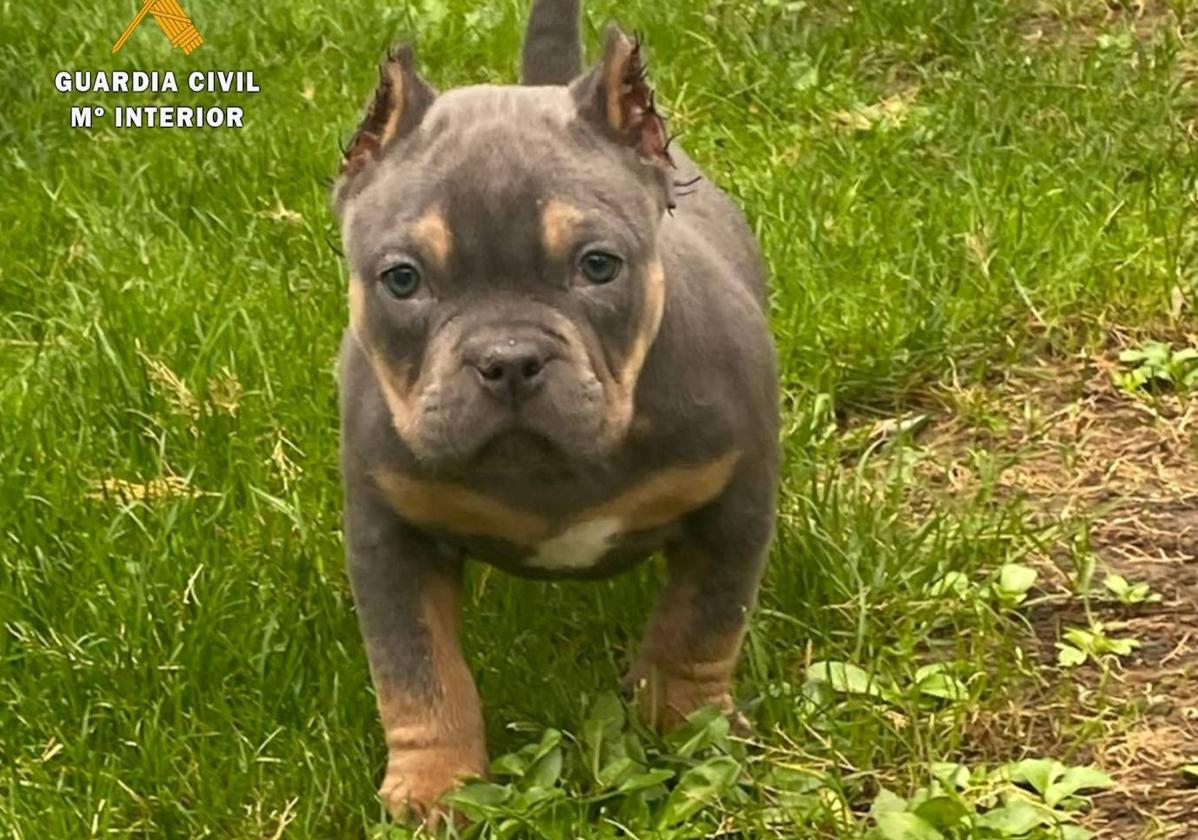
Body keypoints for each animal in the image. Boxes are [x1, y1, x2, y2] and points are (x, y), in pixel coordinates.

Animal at [333, 0, 781, 819]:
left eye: (598, 266)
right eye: (402, 280)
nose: (508, 359)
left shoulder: (733, 503)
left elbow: (700, 627)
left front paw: (685, 728)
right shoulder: (390, 533)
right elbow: (417, 671)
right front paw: (436, 784)